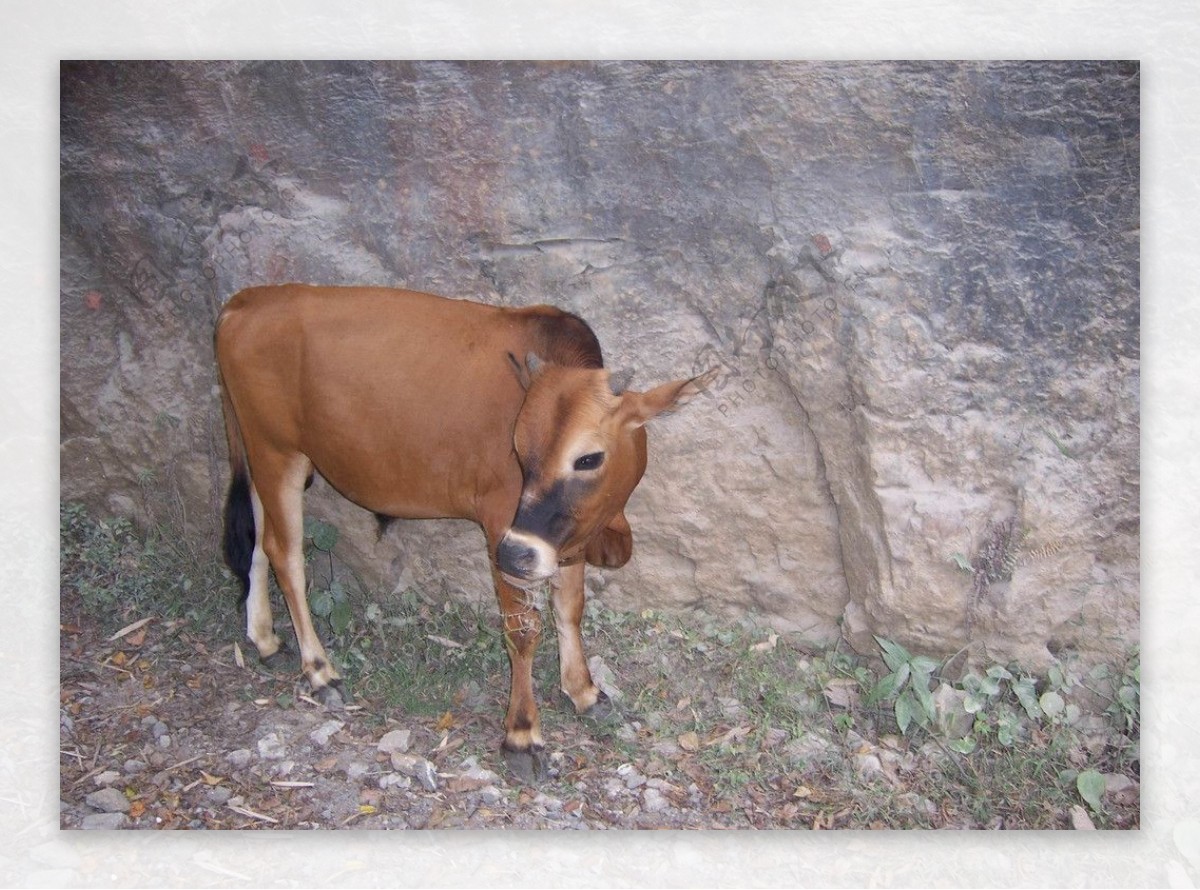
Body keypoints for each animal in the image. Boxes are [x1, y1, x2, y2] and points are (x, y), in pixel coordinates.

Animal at [216, 287, 710, 782]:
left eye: (589, 459)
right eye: (518, 451)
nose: (515, 554)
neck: (607, 528)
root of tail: (245, 301)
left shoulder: (562, 541)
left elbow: (569, 607)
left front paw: (584, 691)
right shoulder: (501, 525)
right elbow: (523, 629)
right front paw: (522, 735)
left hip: (262, 454)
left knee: (259, 539)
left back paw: (265, 639)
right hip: (278, 451)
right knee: (285, 553)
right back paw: (319, 671)